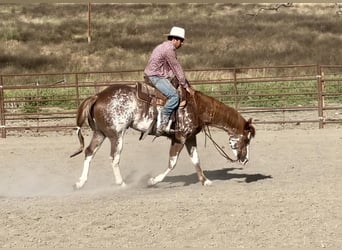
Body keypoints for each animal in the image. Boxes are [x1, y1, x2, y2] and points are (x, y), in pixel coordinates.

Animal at [70, 81, 254, 188]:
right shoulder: (179, 138)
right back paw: (121, 183)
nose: (245, 160)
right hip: (117, 135)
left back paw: (80, 182)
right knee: (114, 158)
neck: (196, 108)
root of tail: (98, 95)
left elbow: (196, 160)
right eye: (246, 140)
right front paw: (153, 181)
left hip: (100, 133)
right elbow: (172, 163)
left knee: (89, 152)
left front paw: (205, 181)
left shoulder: (190, 138)